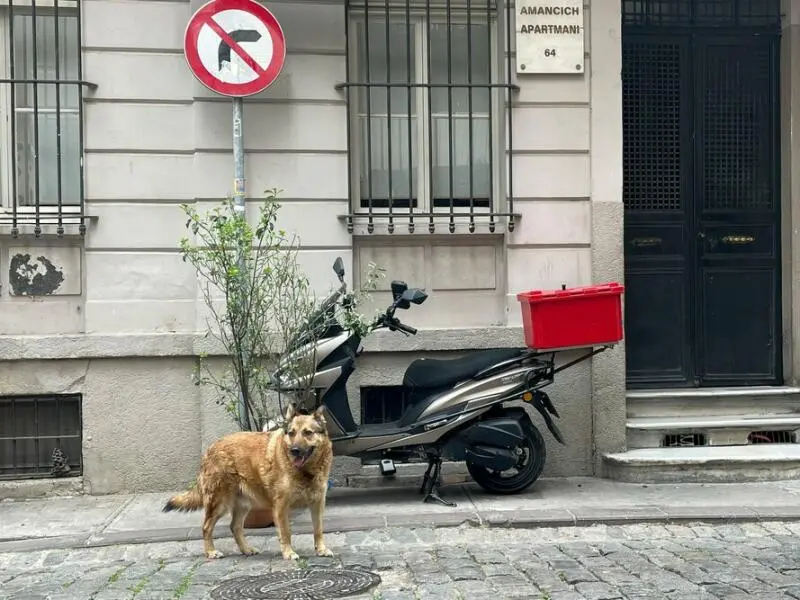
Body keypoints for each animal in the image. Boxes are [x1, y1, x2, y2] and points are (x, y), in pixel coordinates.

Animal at [164, 404, 332, 564]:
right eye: (291, 433)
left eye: (308, 433)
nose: (294, 450)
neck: (306, 471)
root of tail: (209, 449)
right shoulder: (281, 506)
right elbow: (286, 532)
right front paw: (288, 553)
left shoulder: (318, 503)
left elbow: (318, 529)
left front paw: (321, 549)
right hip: (219, 504)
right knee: (206, 527)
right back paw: (211, 552)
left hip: (243, 505)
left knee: (235, 527)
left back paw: (246, 549)